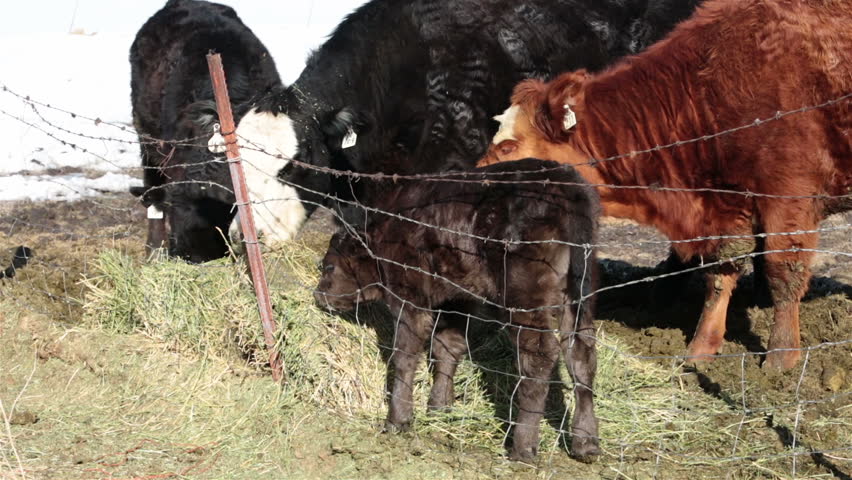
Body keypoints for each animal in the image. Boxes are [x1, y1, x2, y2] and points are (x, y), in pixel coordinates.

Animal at [314, 158, 601, 462]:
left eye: (329, 266)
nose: (319, 294)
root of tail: (565, 183)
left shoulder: (409, 295)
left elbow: (404, 355)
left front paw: (398, 420)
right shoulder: (456, 299)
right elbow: (447, 347)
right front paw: (439, 408)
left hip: (524, 296)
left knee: (539, 355)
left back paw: (522, 448)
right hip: (579, 293)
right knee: (580, 353)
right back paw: (586, 444)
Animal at [478, 0, 852, 370]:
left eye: (508, 147)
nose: (473, 180)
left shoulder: (788, 197)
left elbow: (783, 271)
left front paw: (781, 358)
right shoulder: (725, 207)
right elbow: (720, 272)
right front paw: (701, 348)